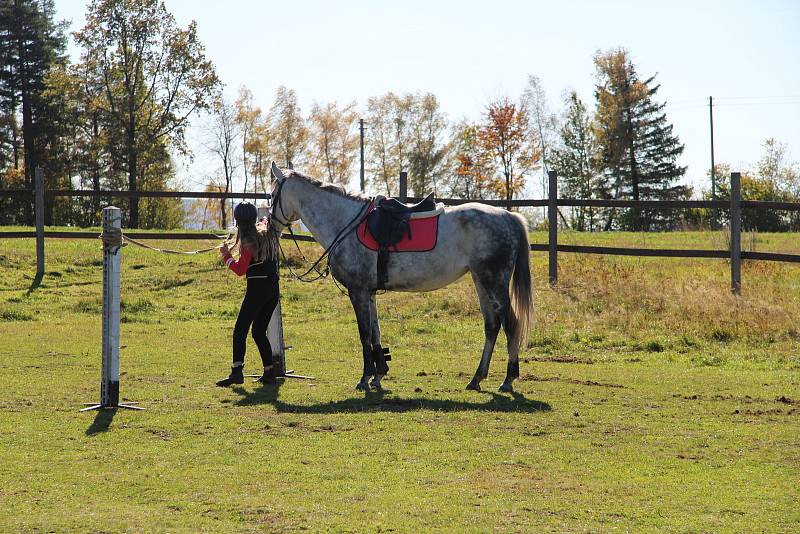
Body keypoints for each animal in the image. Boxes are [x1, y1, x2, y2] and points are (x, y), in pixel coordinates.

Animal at [268, 163, 532, 394]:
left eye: (272, 195)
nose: (269, 226)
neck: (345, 224)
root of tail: (508, 216)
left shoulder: (358, 291)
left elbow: (365, 334)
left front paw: (364, 379)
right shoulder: (369, 293)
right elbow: (376, 333)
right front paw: (378, 375)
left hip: (494, 281)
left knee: (509, 324)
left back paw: (508, 380)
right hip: (481, 280)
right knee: (491, 326)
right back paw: (476, 379)